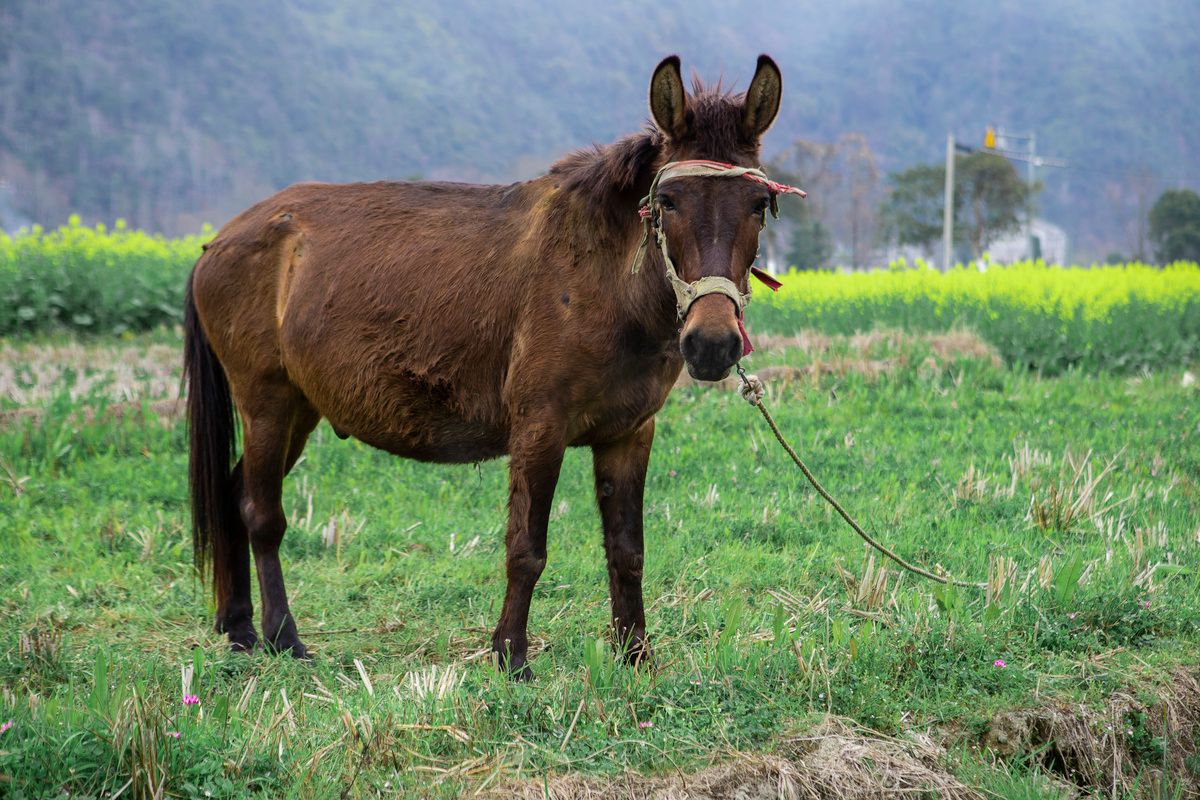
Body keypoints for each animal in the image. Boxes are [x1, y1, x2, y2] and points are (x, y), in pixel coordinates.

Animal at [184, 53, 787, 681]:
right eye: (668, 203)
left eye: (757, 206)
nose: (713, 343)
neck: (600, 278)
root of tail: (218, 242)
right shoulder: (539, 428)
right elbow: (526, 549)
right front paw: (511, 656)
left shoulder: (628, 434)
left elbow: (628, 551)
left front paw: (635, 654)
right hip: (267, 403)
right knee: (261, 513)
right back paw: (283, 636)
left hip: (301, 408)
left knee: (233, 494)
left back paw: (240, 626)